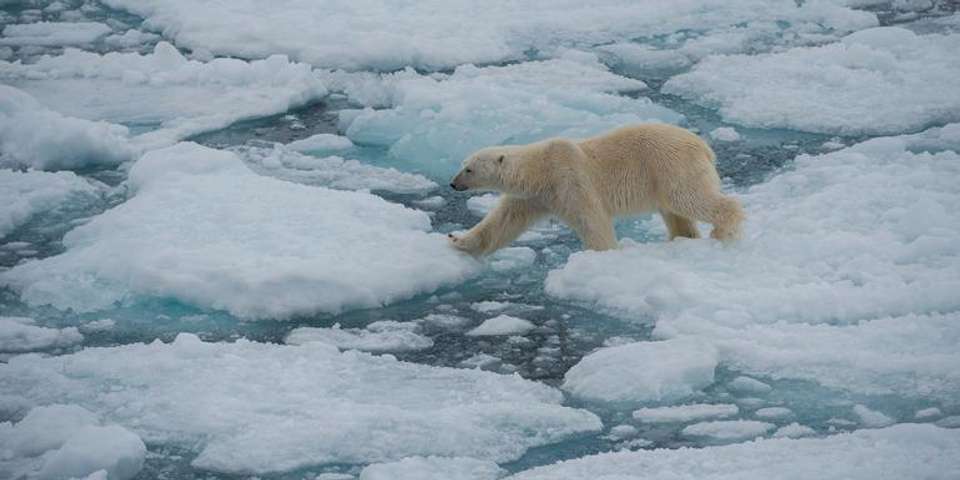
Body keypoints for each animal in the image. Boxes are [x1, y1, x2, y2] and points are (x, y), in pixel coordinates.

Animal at [447, 123, 744, 256]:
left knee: (688, 198)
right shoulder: (534, 196)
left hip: (670, 165)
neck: (540, 169)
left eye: (469, 169)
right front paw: (457, 239)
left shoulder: (569, 178)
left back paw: (722, 231)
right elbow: (502, 222)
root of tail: (703, 146)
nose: (453, 183)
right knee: (676, 212)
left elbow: (591, 219)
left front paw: (601, 254)